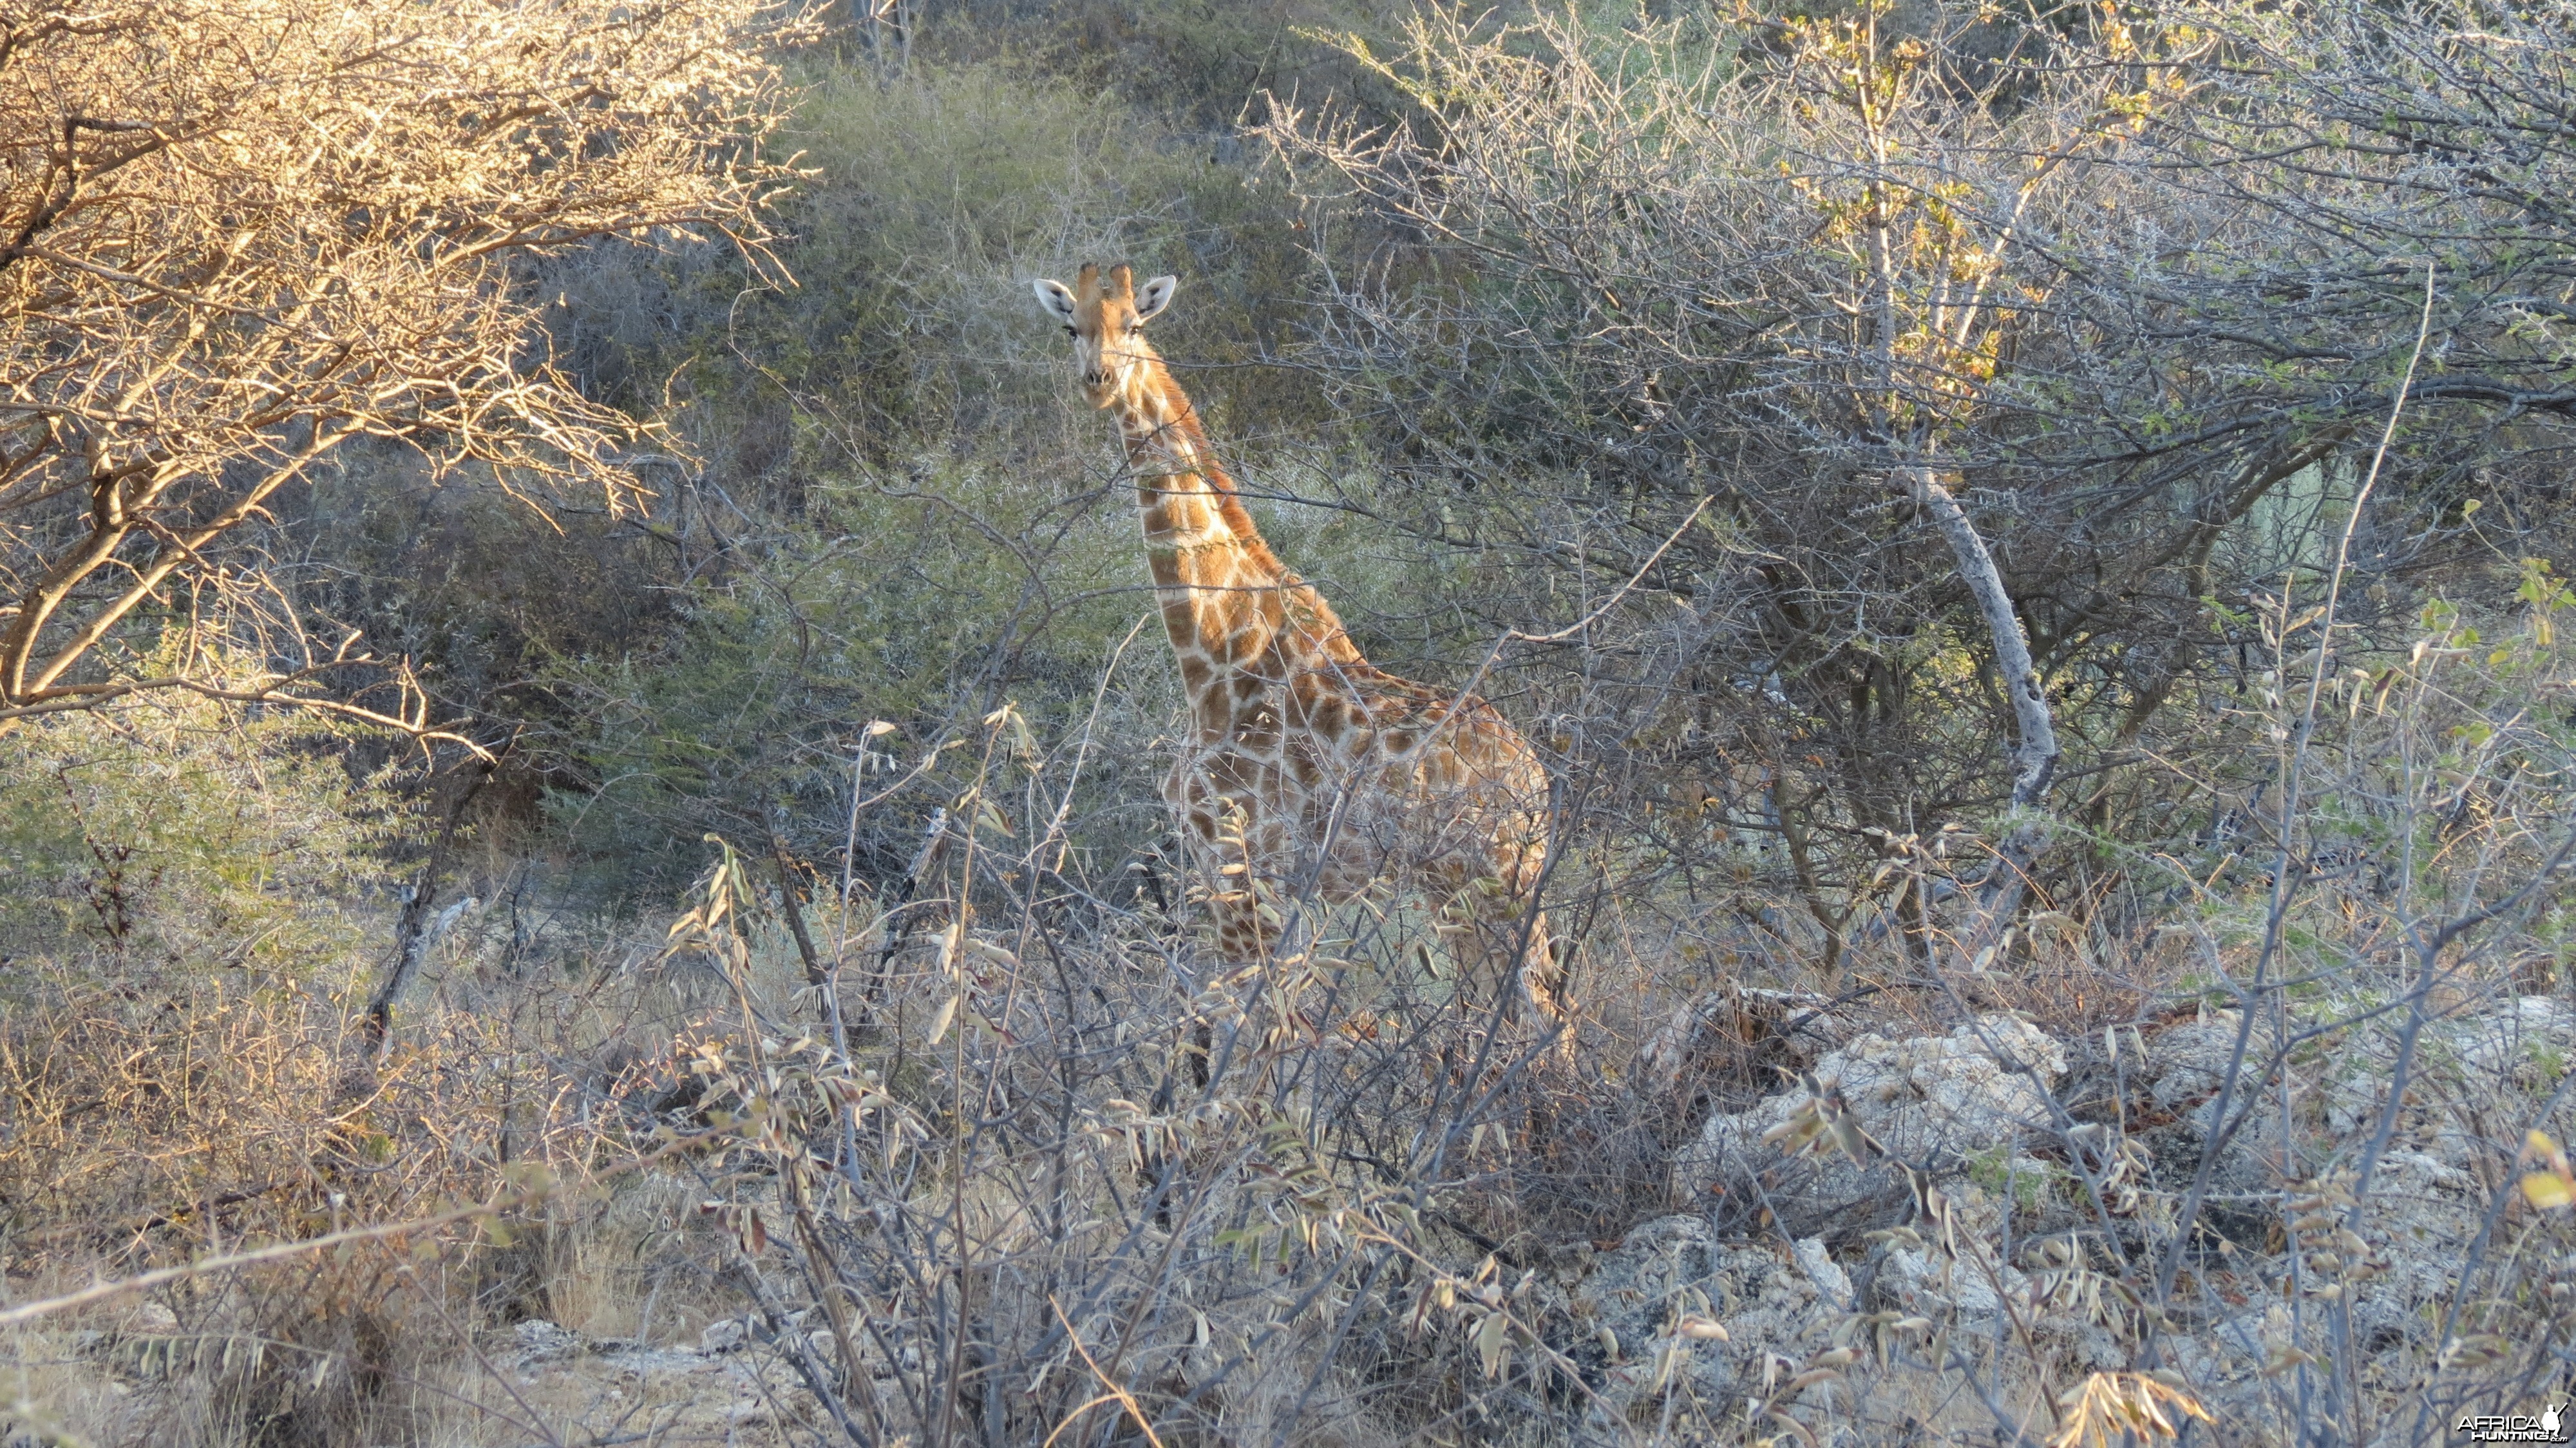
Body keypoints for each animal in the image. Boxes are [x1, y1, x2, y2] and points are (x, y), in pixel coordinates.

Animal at [1041, 259, 1566, 1025]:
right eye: (1071, 327)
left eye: (1133, 325)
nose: (1098, 381)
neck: (1213, 657)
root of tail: (1536, 780)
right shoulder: (1243, 877)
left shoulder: (1243, 868)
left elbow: (1246, 1030)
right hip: (1459, 891)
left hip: (1496, 879)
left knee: (1548, 1012)